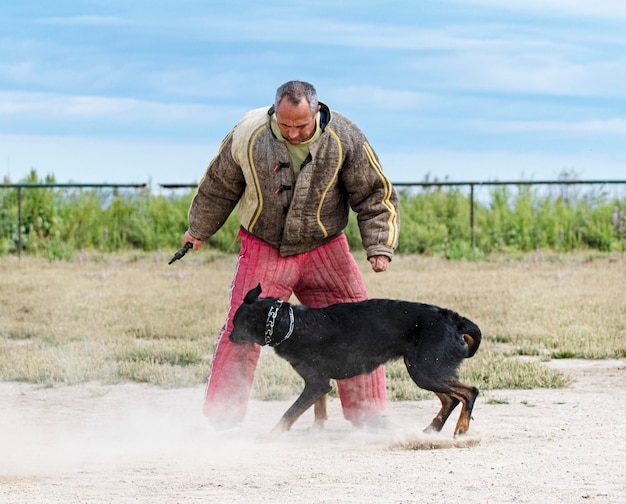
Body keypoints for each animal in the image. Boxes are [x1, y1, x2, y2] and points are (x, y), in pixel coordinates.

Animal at [232, 286, 480, 440]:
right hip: (423, 369)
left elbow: (289, 413)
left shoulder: (316, 383)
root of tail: (454, 320)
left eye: (236, 324)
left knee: (469, 392)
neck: (290, 324)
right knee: (450, 399)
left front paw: (270, 436)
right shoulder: (319, 384)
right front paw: (315, 432)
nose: (230, 337)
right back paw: (432, 429)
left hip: (426, 370)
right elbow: (318, 410)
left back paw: (461, 429)